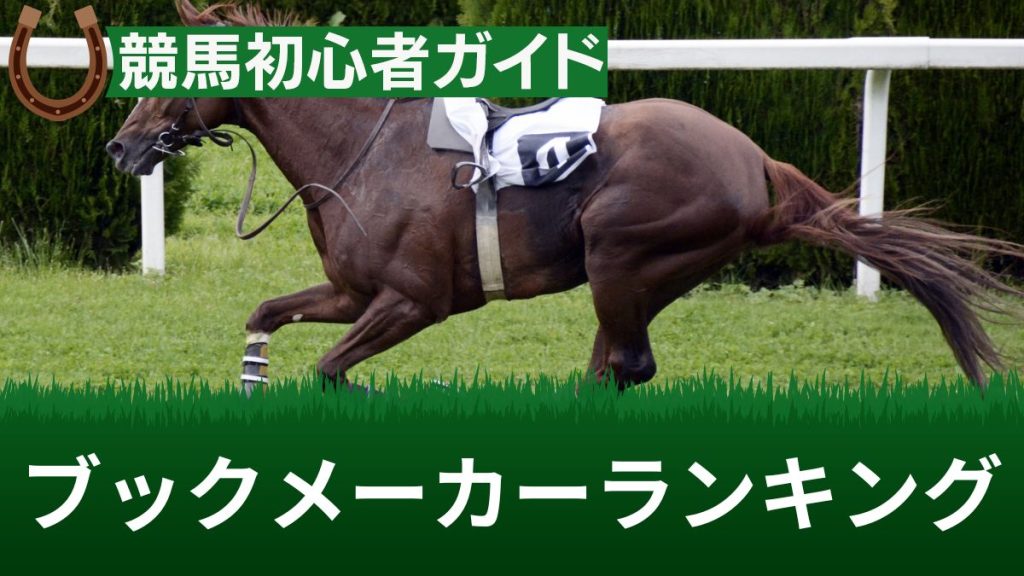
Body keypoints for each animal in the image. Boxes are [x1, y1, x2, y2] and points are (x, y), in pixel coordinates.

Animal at [107, 1, 1024, 391]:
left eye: (174, 72)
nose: (119, 146)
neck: (359, 152)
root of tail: (756, 162)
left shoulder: (414, 300)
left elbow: (333, 371)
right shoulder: (355, 290)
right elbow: (267, 314)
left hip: (623, 251)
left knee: (626, 365)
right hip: (640, 275)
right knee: (614, 366)